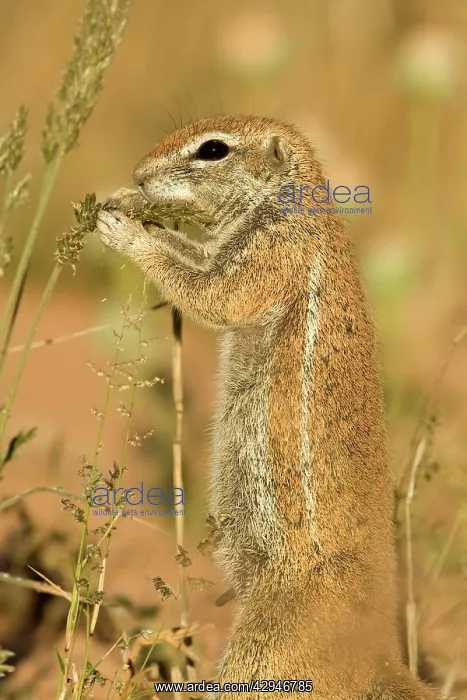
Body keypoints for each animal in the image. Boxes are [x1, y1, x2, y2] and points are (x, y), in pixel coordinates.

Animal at [96, 115, 439, 700]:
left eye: (213, 149)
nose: (139, 174)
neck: (287, 205)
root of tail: (380, 657)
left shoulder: (269, 257)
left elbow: (210, 294)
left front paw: (124, 228)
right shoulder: (222, 250)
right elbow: (193, 258)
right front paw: (123, 202)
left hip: (264, 649)